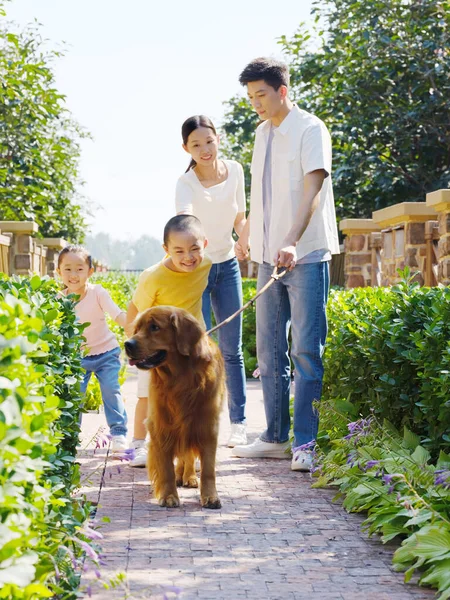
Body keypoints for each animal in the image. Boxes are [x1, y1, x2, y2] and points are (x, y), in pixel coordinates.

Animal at [125, 308, 225, 508]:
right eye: (137, 328)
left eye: (154, 327)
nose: (127, 344)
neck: (181, 380)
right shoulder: (161, 426)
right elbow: (166, 468)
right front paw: (169, 495)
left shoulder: (207, 425)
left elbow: (208, 469)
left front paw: (210, 496)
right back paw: (181, 476)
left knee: (189, 456)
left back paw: (190, 477)